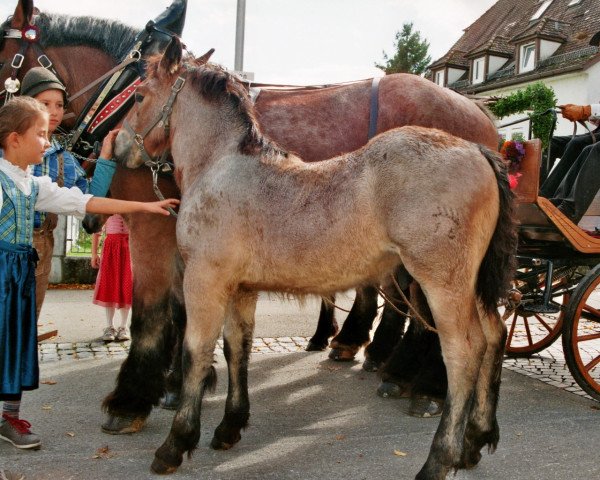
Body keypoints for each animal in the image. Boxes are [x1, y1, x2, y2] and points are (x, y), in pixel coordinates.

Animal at [116, 38, 516, 480]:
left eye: (138, 95)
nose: (117, 147)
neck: (222, 166)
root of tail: (479, 150)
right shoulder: (242, 289)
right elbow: (237, 348)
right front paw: (230, 427)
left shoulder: (205, 281)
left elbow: (195, 353)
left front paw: (176, 443)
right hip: (472, 284)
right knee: (495, 335)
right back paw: (475, 441)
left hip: (442, 283)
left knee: (463, 352)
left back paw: (438, 459)